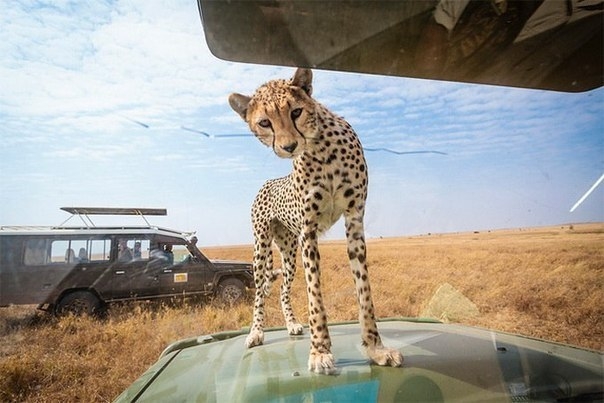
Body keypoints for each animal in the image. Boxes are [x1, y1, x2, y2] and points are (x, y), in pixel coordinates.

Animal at [229, 68, 404, 374]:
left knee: (283, 290)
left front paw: (375, 348)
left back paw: (291, 324)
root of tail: (267, 182)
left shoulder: (354, 219)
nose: (289, 146)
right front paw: (320, 351)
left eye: (296, 112)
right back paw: (256, 332)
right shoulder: (308, 232)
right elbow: (315, 297)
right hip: (261, 248)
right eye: (265, 122)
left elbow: (364, 292)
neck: (321, 149)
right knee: (260, 291)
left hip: (289, 254)